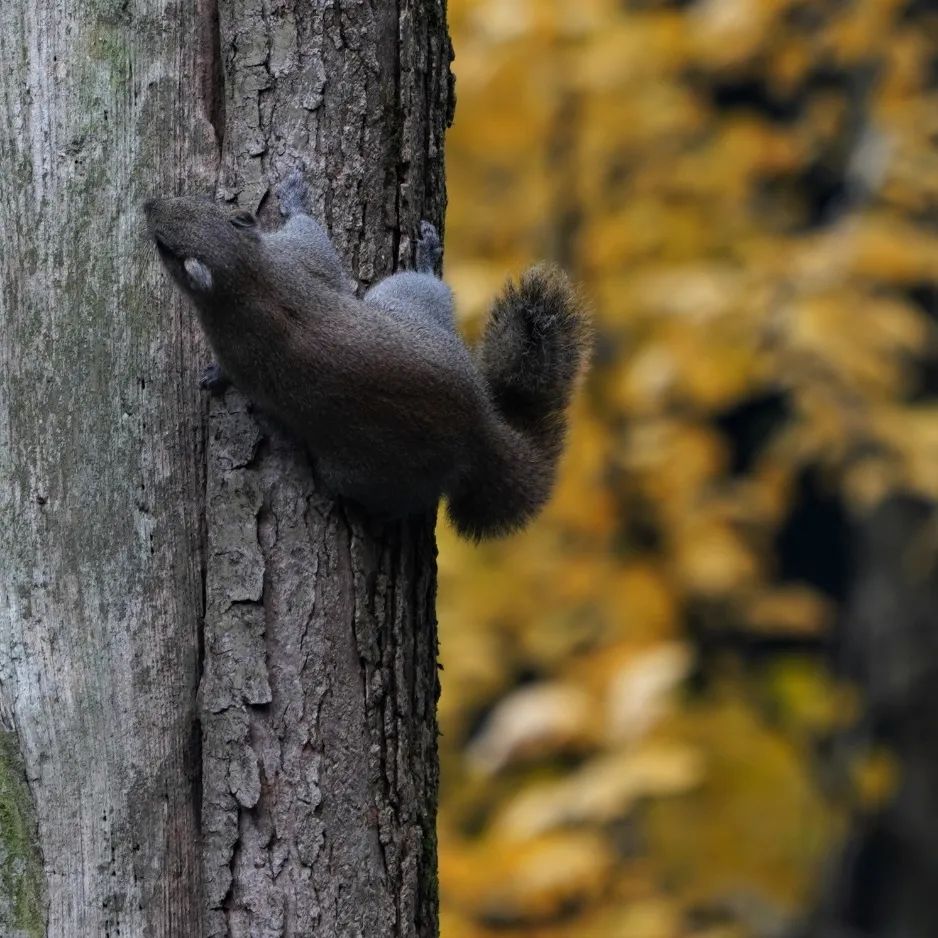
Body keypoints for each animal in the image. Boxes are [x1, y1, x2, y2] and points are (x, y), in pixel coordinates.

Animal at [144, 167, 588, 532]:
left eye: (165, 247)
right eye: (195, 202)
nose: (148, 205)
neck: (244, 276)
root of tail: (477, 424)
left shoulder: (296, 258)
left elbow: (310, 232)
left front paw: (294, 196)